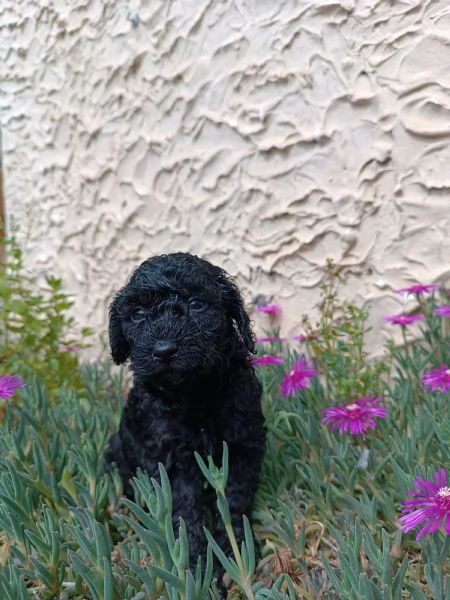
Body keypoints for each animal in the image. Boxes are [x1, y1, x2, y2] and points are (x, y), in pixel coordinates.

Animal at [105, 252, 268, 576]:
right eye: (138, 313)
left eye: (196, 304)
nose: (164, 349)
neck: (194, 393)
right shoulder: (170, 458)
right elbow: (183, 511)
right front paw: (197, 566)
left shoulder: (243, 444)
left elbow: (235, 500)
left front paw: (236, 553)